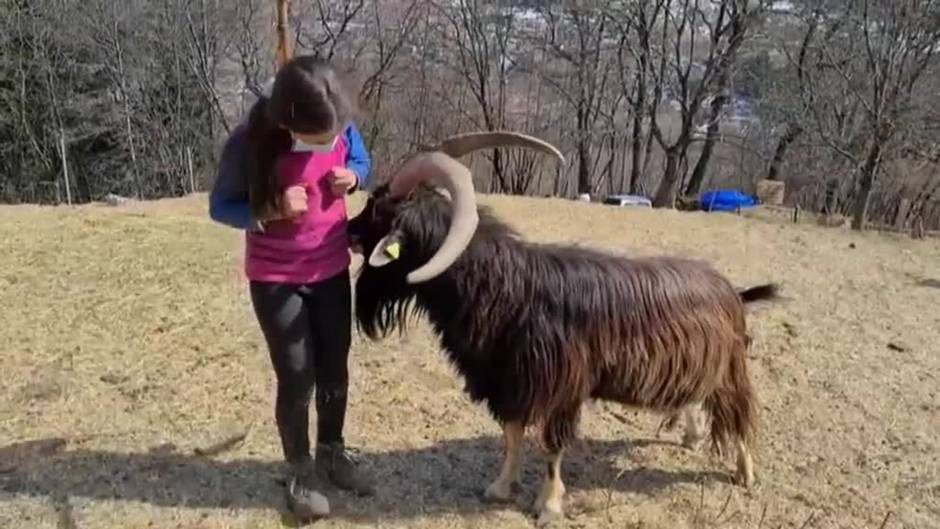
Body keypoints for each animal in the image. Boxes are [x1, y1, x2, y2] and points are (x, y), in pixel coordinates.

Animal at [347, 131, 777, 525]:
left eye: (376, 209)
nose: (348, 229)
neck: (509, 290)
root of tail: (729, 290)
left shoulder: (561, 387)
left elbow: (552, 447)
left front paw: (549, 507)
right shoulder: (509, 380)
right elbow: (512, 435)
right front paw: (501, 487)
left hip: (730, 368)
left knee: (739, 410)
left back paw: (746, 473)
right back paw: (692, 437)